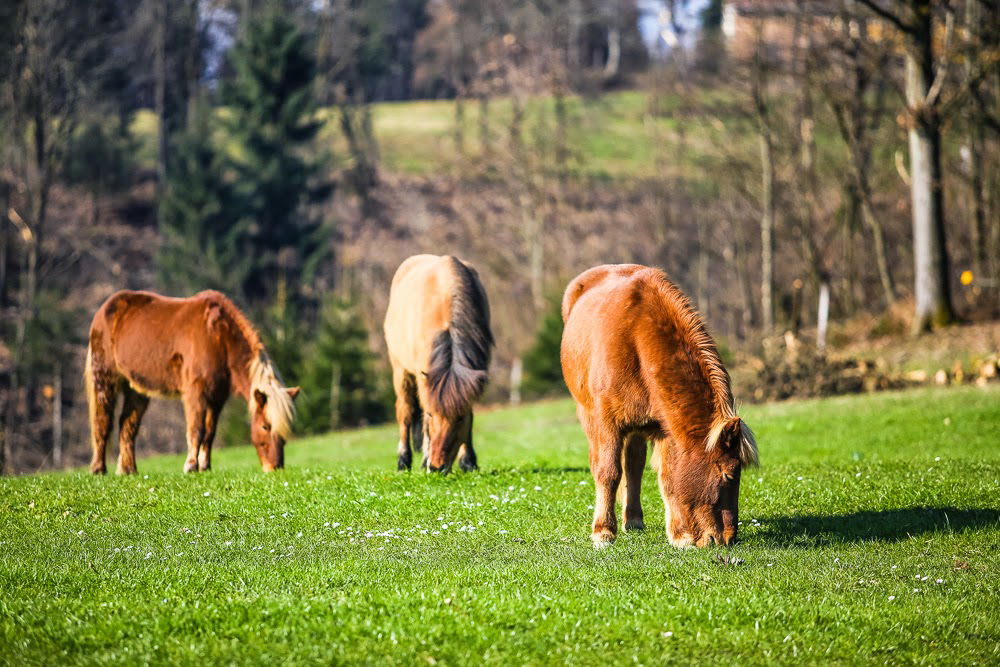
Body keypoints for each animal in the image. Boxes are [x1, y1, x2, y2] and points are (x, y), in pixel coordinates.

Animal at [86, 290, 298, 474]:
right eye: (265, 426)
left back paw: (128, 470)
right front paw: (191, 466)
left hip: (137, 388)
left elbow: (210, 432)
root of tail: (106, 308)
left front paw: (205, 466)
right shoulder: (196, 393)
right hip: (105, 377)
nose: (275, 467)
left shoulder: (217, 398)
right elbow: (197, 429)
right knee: (102, 421)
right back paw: (98, 469)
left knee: (127, 425)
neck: (217, 336)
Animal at [382, 253, 492, 472]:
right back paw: (403, 461)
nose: (436, 466)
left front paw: (468, 462)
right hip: (401, 371)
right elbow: (421, 420)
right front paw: (424, 459)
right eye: (432, 415)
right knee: (405, 412)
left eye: (460, 418)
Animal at [564, 264, 756, 552]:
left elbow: (667, 477)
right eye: (728, 475)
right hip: (590, 418)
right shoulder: (607, 424)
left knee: (634, 467)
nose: (728, 539)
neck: (636, 337)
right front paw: (603, 532)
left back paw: (633, 519)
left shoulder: (664, 428)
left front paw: (680, 535)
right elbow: (608, 472)